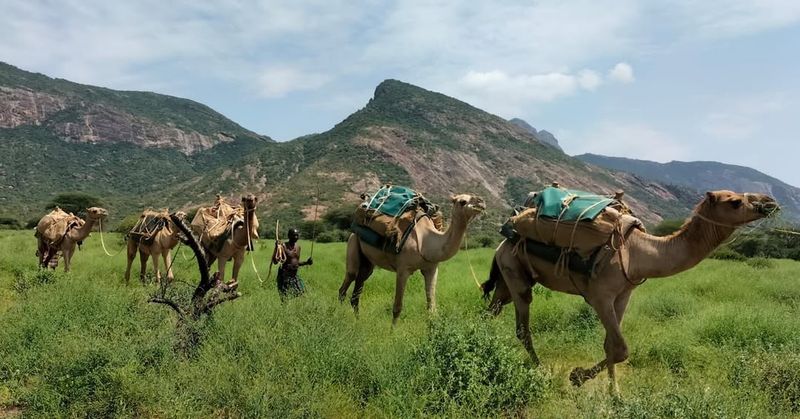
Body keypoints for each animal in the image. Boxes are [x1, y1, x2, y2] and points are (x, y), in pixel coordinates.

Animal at [340, 194, 484, 324]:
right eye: (462, 201)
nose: (481, 202)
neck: (426, 241)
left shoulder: (431, 269)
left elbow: (432, 308)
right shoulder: (403, 269)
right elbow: (397, 308)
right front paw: (392, 333)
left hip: (367, 261)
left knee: (358, 289)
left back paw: (357, 321)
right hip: (353, 242)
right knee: (348, 281)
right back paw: (340, 317)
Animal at [484, 190, 780, 394]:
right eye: (735, 201)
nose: (770, 202)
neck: (638, 252)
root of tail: (504, 237)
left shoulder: (623, 295)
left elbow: (611, 345)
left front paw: (613, 393)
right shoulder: (600, 296)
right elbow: (621, 348)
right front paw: (578, 377)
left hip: (508, 276)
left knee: (493, 308)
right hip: (516, 272)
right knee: (521, 325)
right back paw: (539, 368)